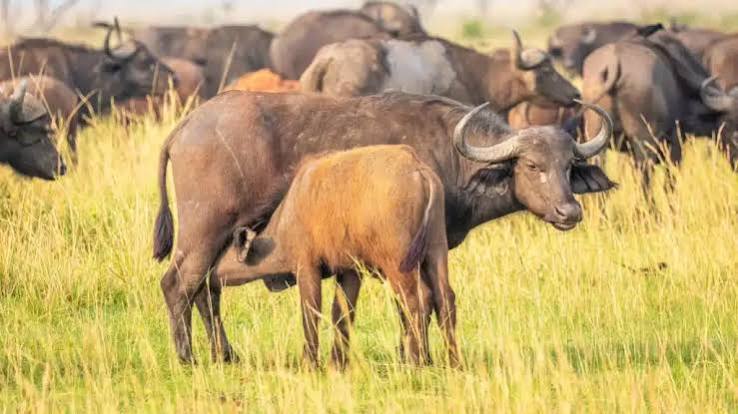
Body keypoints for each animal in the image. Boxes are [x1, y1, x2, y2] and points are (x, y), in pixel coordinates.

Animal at [152, 91, 614, 363]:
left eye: (568, 165)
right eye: (533, 165)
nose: (569, 211)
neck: (450, 153)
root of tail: (187, 126)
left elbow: (424, 302)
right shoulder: (405, 253)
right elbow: (415, 301)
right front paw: (413, 356)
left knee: (206, 291)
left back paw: (225, 354)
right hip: (203, 232)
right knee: (178, 285)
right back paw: (187, 358)